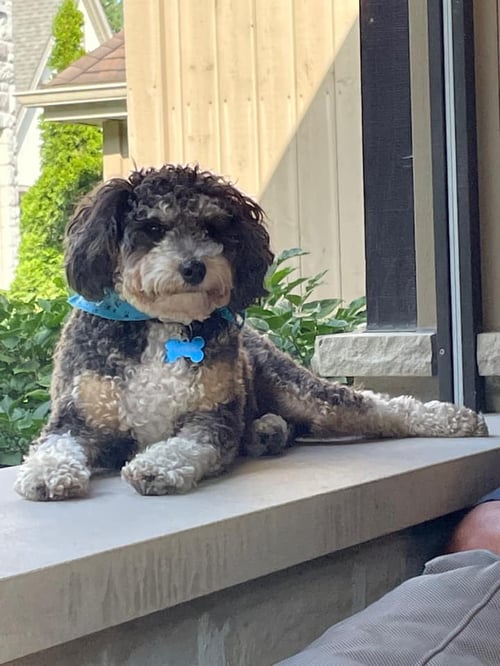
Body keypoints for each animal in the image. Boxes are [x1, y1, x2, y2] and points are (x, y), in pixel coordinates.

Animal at [14, 165, 488, 498]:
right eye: (152, 228)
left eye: (212, 228)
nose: (194, 266)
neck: (161, 325)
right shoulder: (76, 418)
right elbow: (54, 446)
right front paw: (46, 474)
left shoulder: (211, 416)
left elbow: (187, 447)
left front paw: (157, 466)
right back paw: (265, 431)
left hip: (302, 390)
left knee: (377, 406)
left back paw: (452, 418)